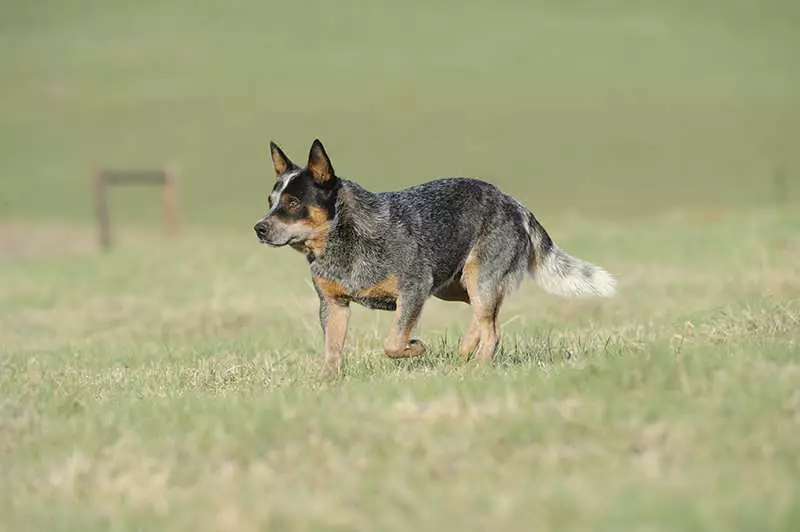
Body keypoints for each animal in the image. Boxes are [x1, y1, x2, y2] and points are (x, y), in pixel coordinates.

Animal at [253, 141, 616, 374]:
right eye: (271, 201)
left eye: (293, 203)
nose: (258, 228)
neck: (343, 239)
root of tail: (515, 203)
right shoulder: (333, 304)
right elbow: (332, 349)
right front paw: (327, 383)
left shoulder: (414, 289)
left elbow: (394, 342)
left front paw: (416, 348)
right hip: (454, 286)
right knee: (488, 318)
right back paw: (465, 350)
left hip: (477, 278)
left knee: (493, 329)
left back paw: (477, 369)